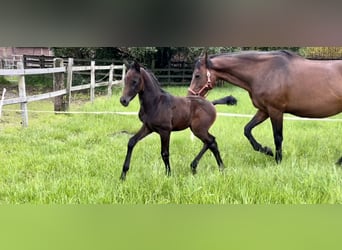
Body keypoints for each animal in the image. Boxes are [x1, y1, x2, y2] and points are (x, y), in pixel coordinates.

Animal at [188, 50, 342, 164]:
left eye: (197, 75)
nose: (190, 96)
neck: (264, 71)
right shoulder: (264, 110)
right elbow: (247, 130)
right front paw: (266, 150)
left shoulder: (275, 110)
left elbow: (277, 136)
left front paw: (278, 160)